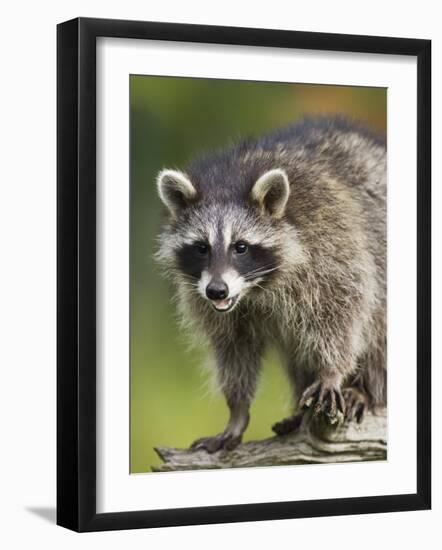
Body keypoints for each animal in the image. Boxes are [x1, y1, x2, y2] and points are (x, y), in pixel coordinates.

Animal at [155, 115, 386, 452]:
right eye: (201, 248)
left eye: (240, 247)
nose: (217, 290)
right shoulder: (207, 299)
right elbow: (233, 348)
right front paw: (237, 410)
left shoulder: (332, 245)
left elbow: (344, 312)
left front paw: (331, 372)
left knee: (378, 329)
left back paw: (367, 391)